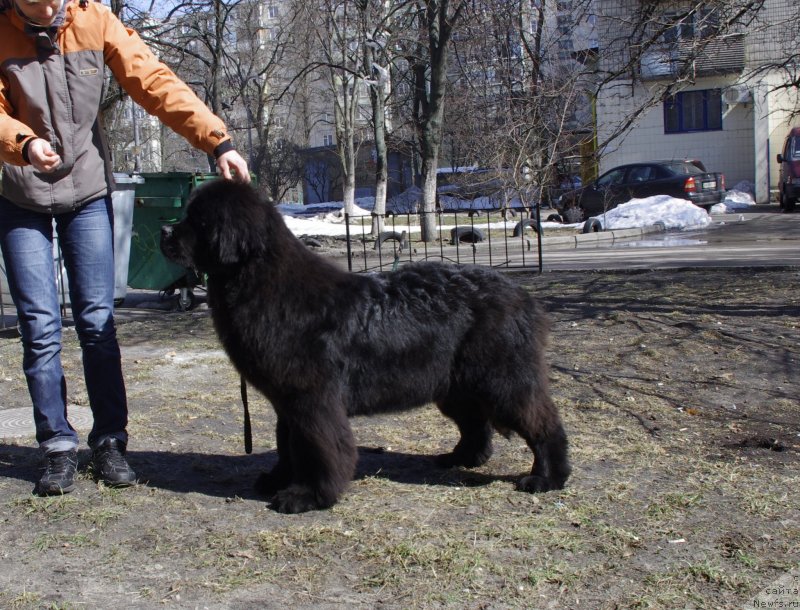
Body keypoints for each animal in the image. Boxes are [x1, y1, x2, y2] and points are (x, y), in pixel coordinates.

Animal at [161, 178, 568, 510]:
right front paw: (278, 479)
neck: (258, 280)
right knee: (475, 424)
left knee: (542, 422)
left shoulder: (312, 398)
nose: (164, 229)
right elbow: (287, 443)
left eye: (197, 221)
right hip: (455, 384)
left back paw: (547, 478)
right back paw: (461, 458)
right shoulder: (288, 401)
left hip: (502, 380)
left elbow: (319, 447)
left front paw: (310, 496)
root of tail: (523, 296)